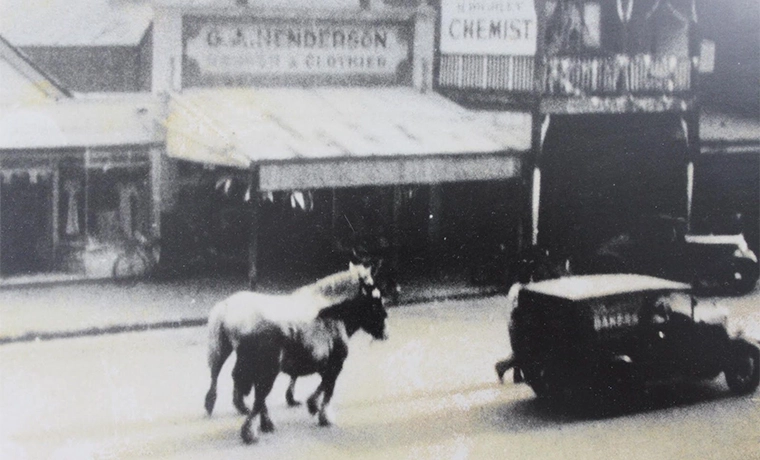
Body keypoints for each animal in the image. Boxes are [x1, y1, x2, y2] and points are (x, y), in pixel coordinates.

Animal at [203, 260, 372, 416]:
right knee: (234, 375)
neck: (324, 304)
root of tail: (225, 306)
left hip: (226, 348)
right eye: (370, 285)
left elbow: (295, 374)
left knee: (217, 373)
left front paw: (292, 399)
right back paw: (237, 406)